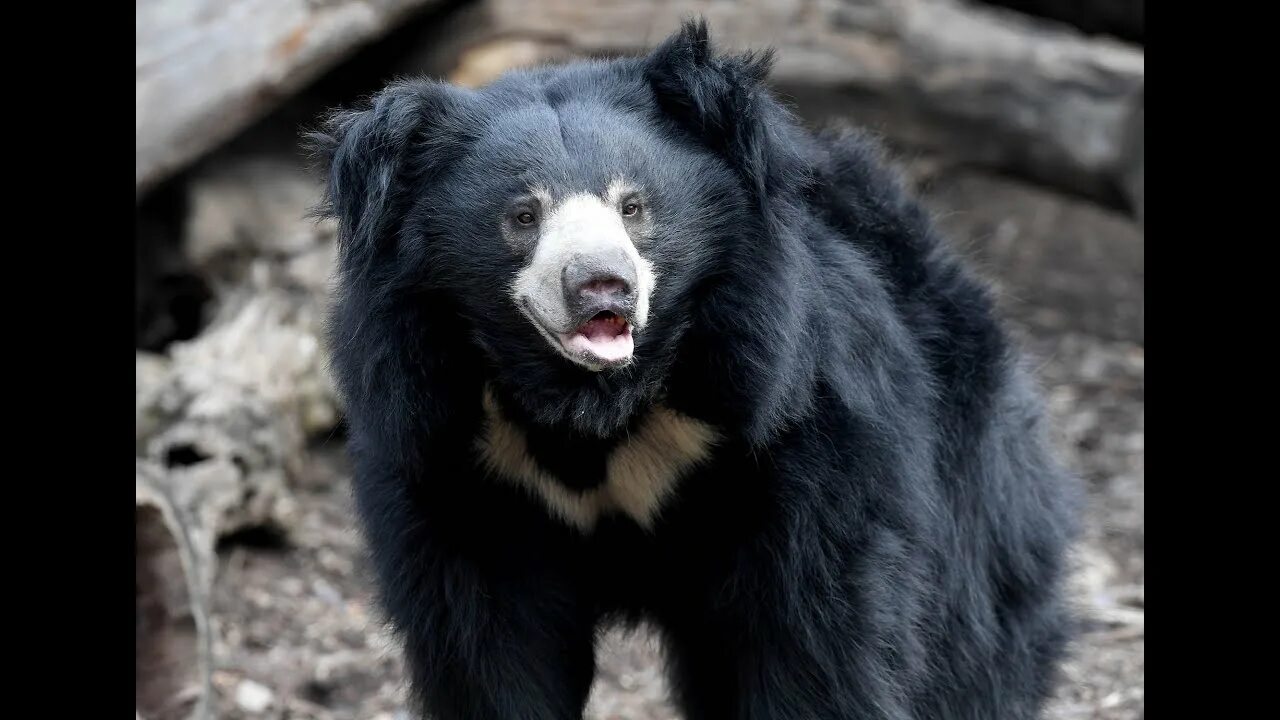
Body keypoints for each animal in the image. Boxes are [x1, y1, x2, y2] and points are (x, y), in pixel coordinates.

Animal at [309, 19, 1080, 712]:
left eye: (633, 206)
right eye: (523, 214)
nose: (602, 286)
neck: (595, 403)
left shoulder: (798, 421)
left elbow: (819, 623)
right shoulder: (452, 450)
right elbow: (489, 642)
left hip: (972, 475)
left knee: (974, 643)